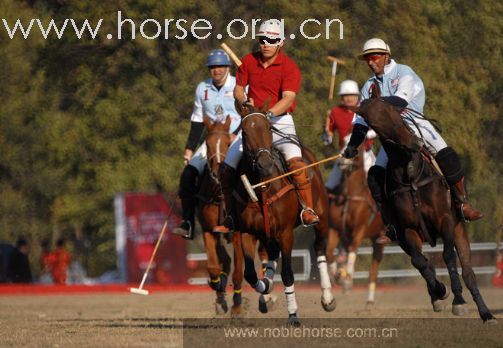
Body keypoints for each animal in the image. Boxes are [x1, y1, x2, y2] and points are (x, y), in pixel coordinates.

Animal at [234, 106, 336, 326]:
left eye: (268, 128)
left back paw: (328, 298)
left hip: (321, 217)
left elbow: (288, 274)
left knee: (319, 248)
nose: (264, 165)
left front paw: (293, 315)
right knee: (272, 253)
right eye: (244, 132)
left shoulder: (286, 233)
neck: (262, 188)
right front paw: (266, 288)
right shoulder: (247, 232)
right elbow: (250, 273)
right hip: (267, 233)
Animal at [326, 143, 386, 304]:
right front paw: (337, 276)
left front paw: (346, 279)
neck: (349, 195)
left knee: (374, 265)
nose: (342, 161)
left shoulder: (360, 229)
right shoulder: (335, 229)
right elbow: (329, 252)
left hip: (379, 237)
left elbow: (353, 250)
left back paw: (369, 299)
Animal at [356, 93, 498, 324]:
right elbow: (419, 262)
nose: (414, 143)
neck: (412, 177)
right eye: (375, 124)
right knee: (422, 261)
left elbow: (448, 256)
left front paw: (459, 300)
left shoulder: (445, 221)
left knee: (469, 273)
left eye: (393, 111)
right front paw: (440, 291)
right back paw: (437, 296)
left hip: (459, 228)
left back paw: (486, 314)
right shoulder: (408, 230)